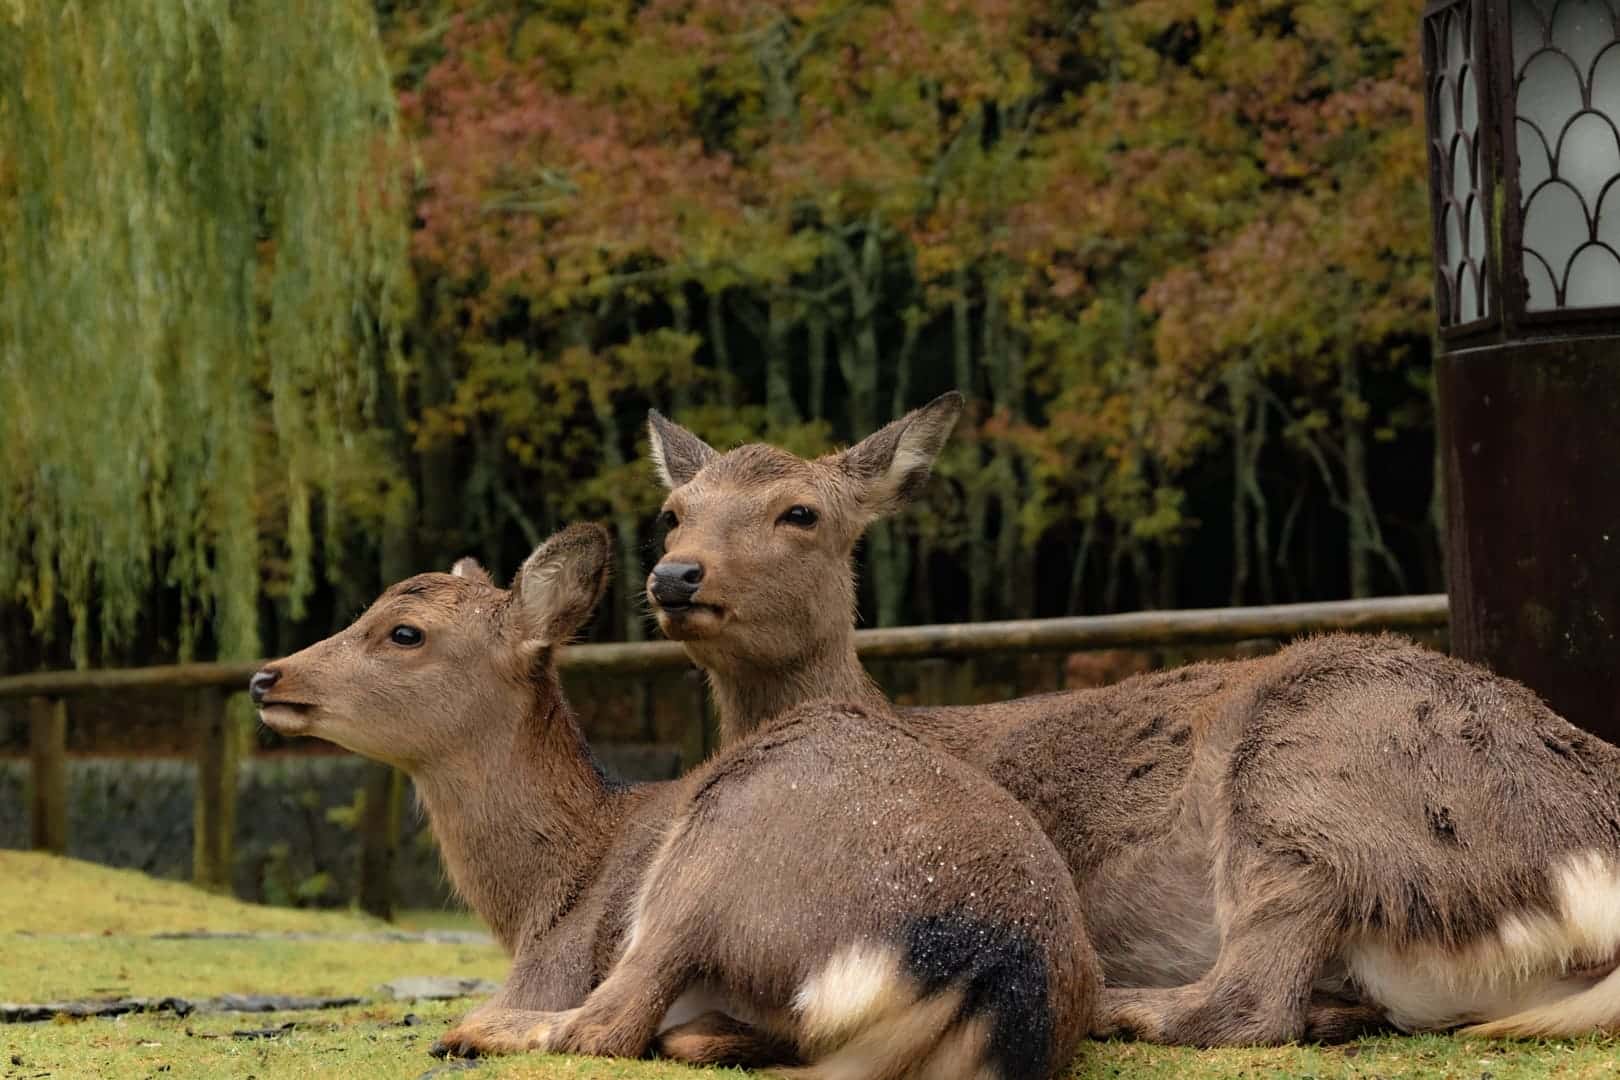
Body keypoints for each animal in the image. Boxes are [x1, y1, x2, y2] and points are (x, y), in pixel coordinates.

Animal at [249, 522, 1100, 1077]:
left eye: (404, 632)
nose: (266, 677)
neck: (536, 896)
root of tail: (988, 961)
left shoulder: (554, 961)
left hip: (720, 853)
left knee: (607, 1023)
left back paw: (472, 1032)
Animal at [645, 392, 1620, 1047]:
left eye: (800, 512)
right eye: (672, 513)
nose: (675, 577)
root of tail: (1587, 871)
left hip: (1311, 775)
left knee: (1247, 1000)